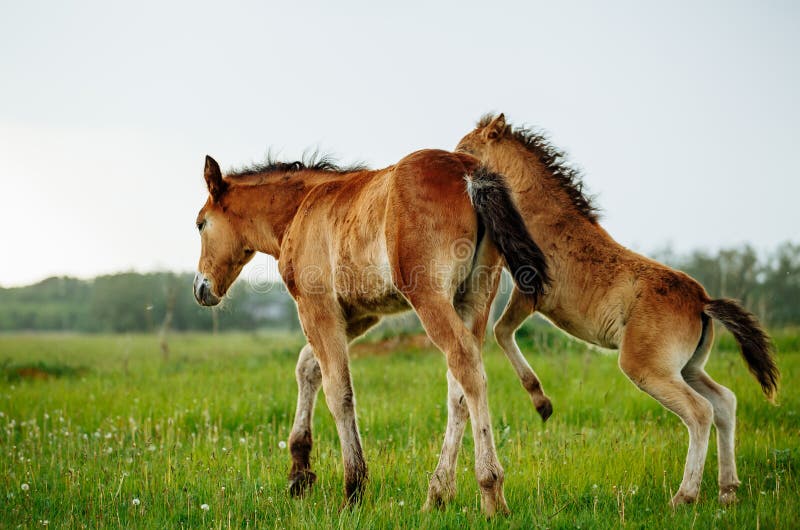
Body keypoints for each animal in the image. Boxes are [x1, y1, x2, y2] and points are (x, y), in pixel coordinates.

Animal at [193, 148, 550, 516]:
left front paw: (353, 489)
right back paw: (438, 493)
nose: (201, 288)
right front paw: (299, 472)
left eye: (200, 223)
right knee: (460, 383)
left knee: (465, 363)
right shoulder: (359, 314)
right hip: (476, 296)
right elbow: (307, 366)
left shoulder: (317, 306)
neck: (300, 208)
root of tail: (468, 170)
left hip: (429, 296)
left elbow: (339, 392)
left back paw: (490, 490)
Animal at [454, 113, 780, 507]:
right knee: (724, 402)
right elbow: (502, 331)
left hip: (646, 367)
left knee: (700, 412)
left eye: (465, 148)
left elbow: (501, 331)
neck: (539, 210)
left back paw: (684, 496)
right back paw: (728, 491)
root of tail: (702, 302)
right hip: (686, 367)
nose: (451, 162)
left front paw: (542, 402)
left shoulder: (529, 290)